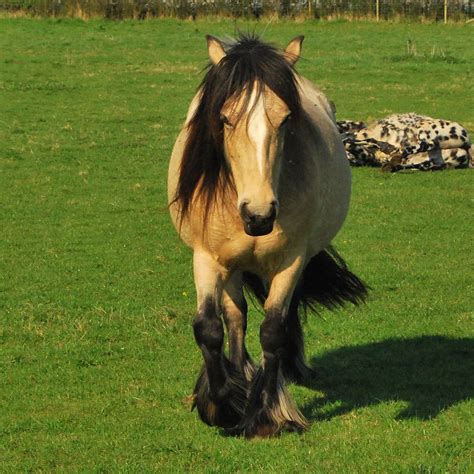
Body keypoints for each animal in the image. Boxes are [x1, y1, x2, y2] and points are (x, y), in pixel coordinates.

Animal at [168, 35, 368, 438]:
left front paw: (267, 414)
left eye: (287, 118)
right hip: (230, 266)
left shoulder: (292, 260)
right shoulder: (206, 257)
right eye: (225, 118)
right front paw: (222, 405)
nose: (258, 215)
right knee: (236, 316)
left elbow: (273, 330)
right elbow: (209, 328)